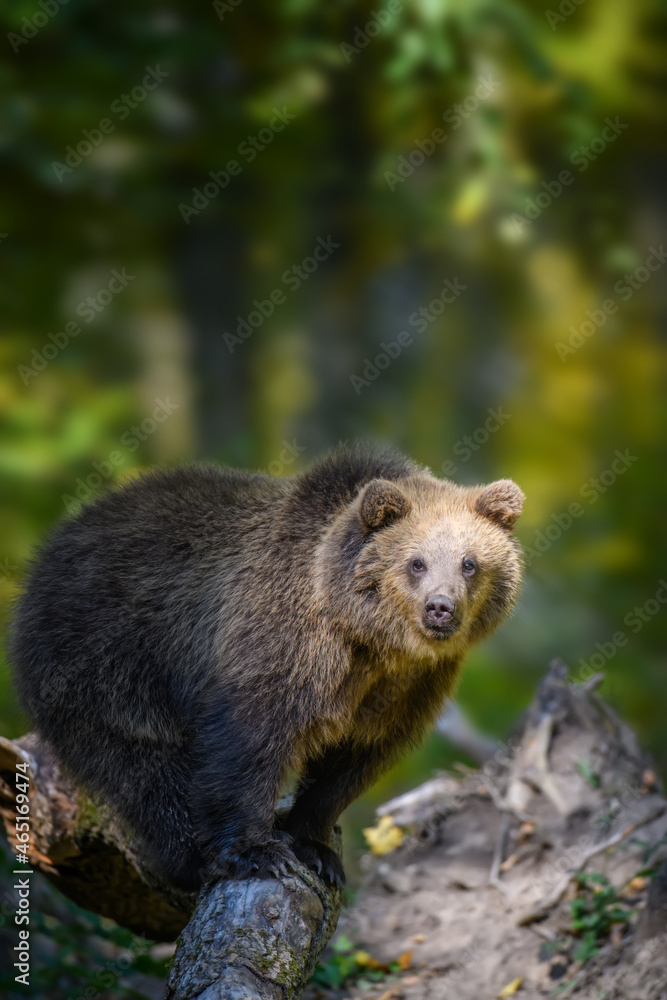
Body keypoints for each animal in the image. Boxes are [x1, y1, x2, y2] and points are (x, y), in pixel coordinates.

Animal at [9, 444, 524, 891]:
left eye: (470, 563)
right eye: (416, 562)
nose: (440, 608)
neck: (371, 642)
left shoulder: (409, 685)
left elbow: (353, 761)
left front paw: (315, 847)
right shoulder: (284, 640)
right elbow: (249, 740)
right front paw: (257, 851)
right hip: (105, 656)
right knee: (141, 763)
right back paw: (187, 856)